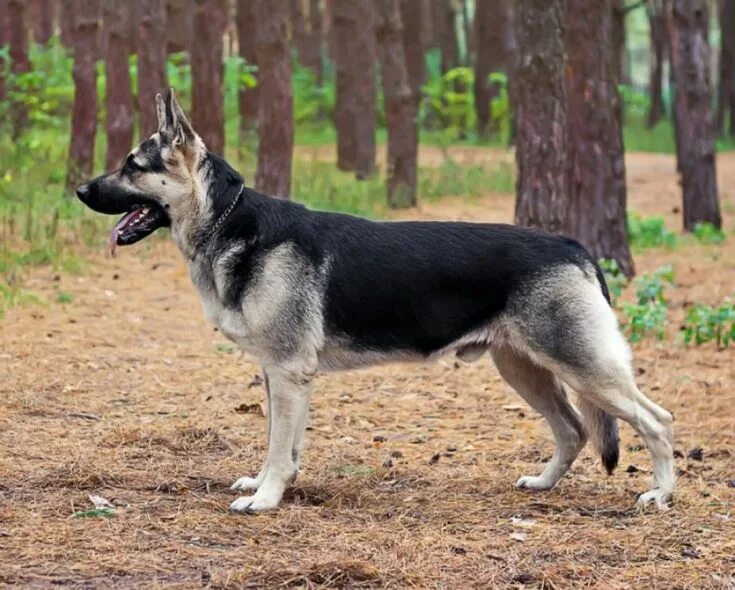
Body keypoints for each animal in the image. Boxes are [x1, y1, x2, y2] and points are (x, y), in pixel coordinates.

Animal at [76, 89, 680, 512]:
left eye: (132, 166)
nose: (79, 190)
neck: (230, 223)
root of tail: (572, 244)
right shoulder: (278, 377)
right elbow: (281, 445)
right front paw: (272, 486)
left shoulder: (288, 373)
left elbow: (278, 448)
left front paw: (265, 500)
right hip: (525, 371)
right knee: (574, 429)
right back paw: (544, 483)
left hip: (584, 369)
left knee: (657, 420)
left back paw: (660, 495)